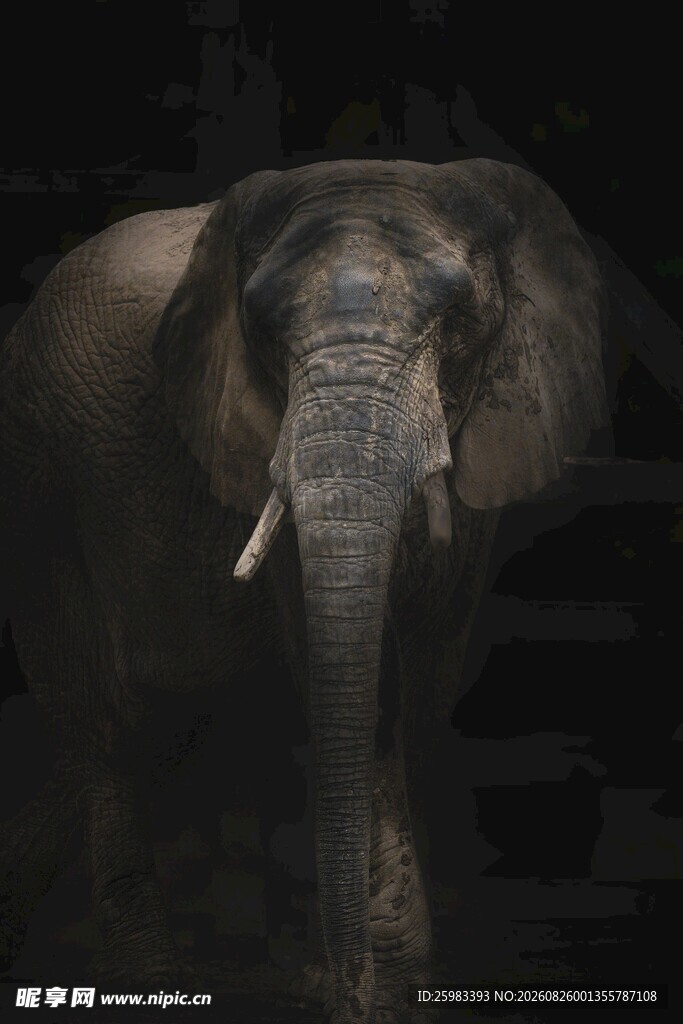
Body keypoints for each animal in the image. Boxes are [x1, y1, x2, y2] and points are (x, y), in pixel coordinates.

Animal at [0, 157, 607, 1023]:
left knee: (168, 724)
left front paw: (391, 990)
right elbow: (352, 679)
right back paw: (149, 984)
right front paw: (373, 992)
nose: (345, 982)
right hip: (37, 485)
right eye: (260, 327)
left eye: (456, 316)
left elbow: (419, 680)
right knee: (107, 723)